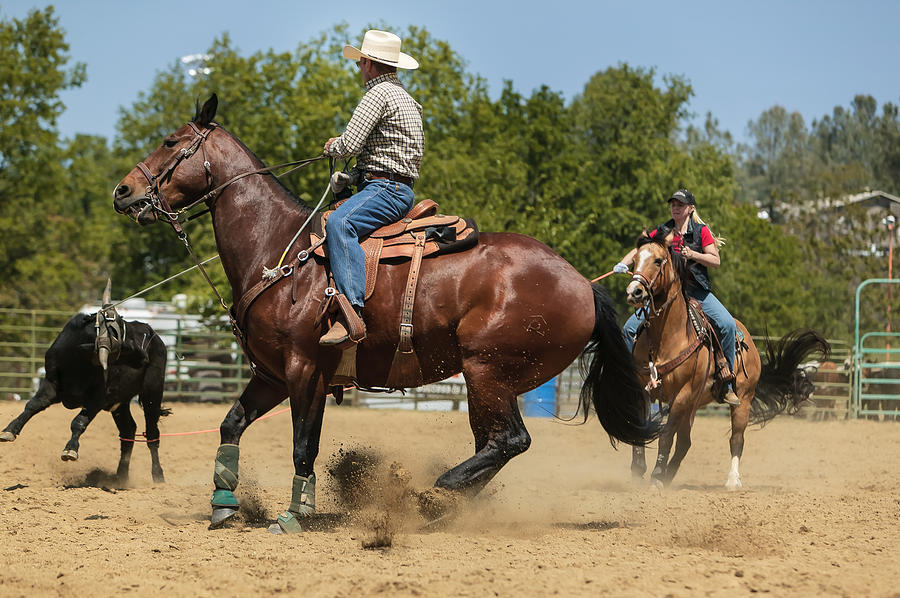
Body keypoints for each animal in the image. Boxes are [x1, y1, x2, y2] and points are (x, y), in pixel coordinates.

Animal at [112, 95, 660, 536]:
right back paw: (445, 505)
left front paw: (293, 516)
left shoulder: (305, 370)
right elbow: (231, 425)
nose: (123, 191)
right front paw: (224, 504)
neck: (278, 252)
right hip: (488, 382)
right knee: (494, 444)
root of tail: (584, 286)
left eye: (170, 141)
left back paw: (435, 493)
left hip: (487, 369)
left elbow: (304, 445)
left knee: (510, 440)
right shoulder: (270, 374)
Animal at [624, 232, 828, 490]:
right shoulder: (644, 389)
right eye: (635, 260)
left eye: (658, 260)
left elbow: (666, 436)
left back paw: (732, 480)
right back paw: (670, 475)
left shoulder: (682, 394)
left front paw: (656, 476)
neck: (666, 337)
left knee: (736, 439)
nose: (634, 292)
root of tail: (748, 339)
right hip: (693, 406)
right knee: (685, 443)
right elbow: (642, 430)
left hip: (742, 399)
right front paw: (638, 472)